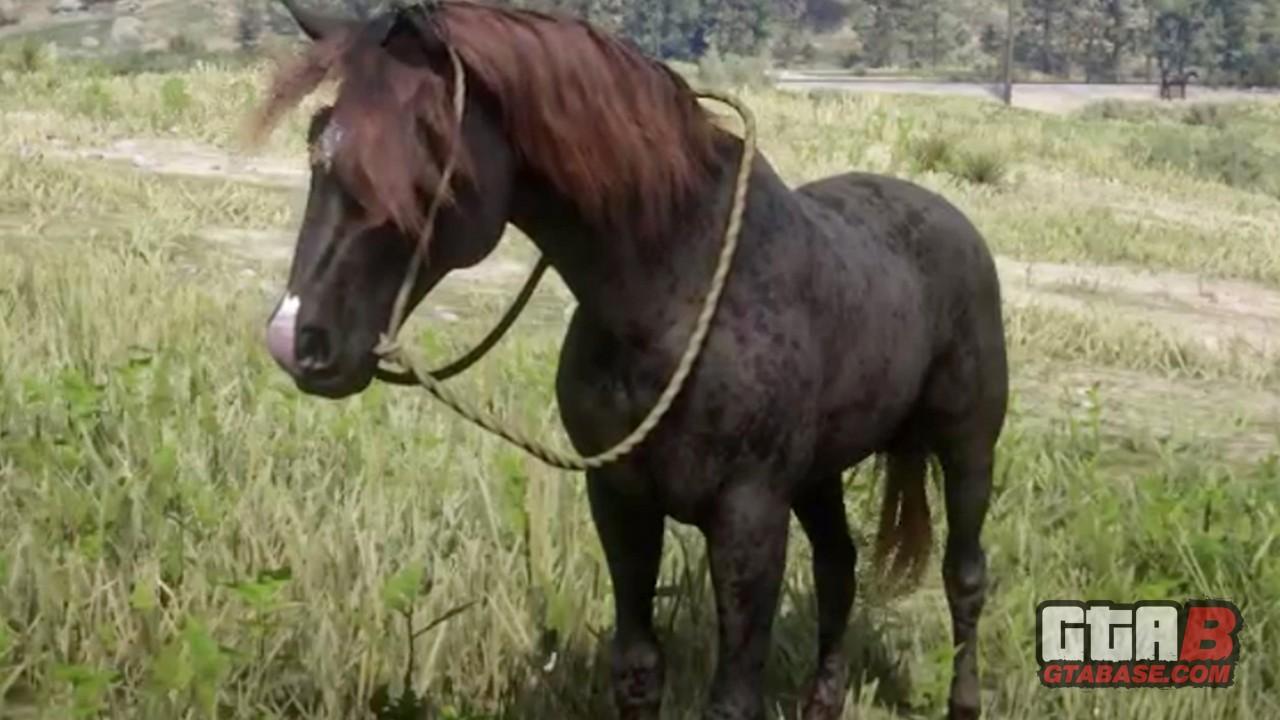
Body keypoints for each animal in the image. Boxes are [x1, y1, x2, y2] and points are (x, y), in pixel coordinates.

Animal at [252, 2, 1008, 712]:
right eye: (318, 139)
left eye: (422, 153)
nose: (297, 339)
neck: (679, 295)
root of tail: (956, 223)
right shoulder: (620, 502)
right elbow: (639, 670)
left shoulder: (749, 518)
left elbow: (734, 695)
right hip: (820, 473)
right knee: (838, 567)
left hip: (967, 445)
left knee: (964, 575)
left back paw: (964, 700)